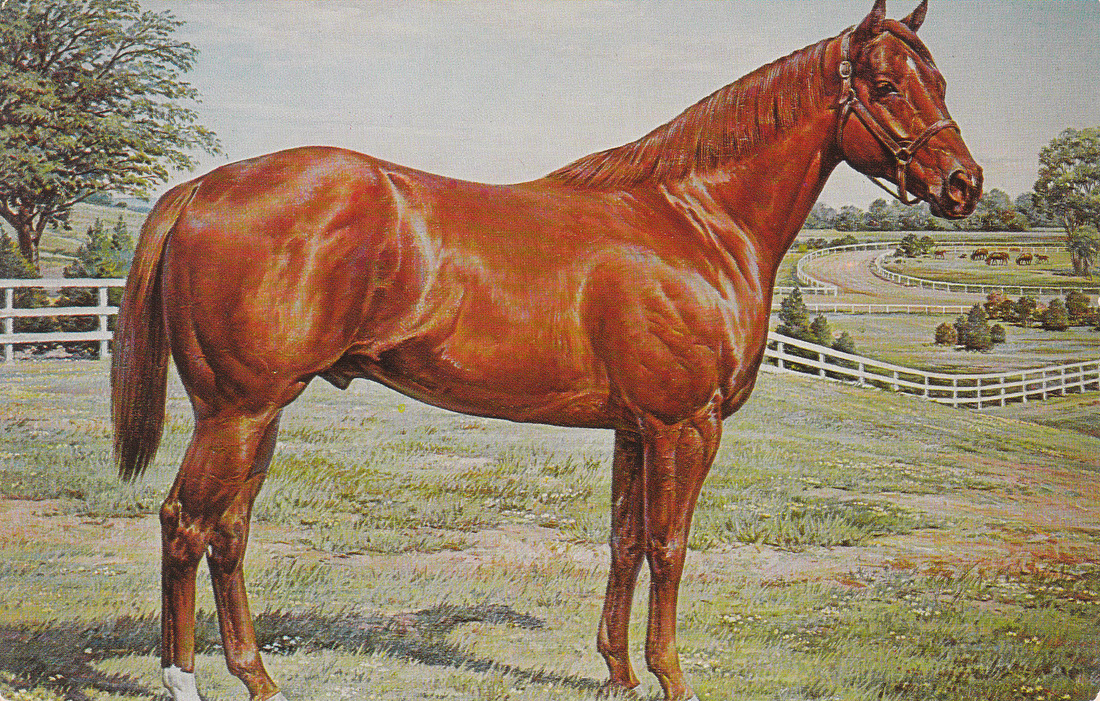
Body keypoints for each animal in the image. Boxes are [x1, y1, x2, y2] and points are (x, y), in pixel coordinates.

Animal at [111, 2, 980, 700]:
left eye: (940, 81)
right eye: (889, 86)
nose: (964, 184)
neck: (694, 221)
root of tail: (203, 188)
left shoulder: (635, 428)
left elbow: (625, 541)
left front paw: (619, 672)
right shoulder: (685, 425)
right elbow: (669, 546)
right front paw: (670, 676)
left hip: (256, 415)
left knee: (229, 531)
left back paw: (259, 677)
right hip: (237, 411)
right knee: (185, 523)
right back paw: (183, 679)